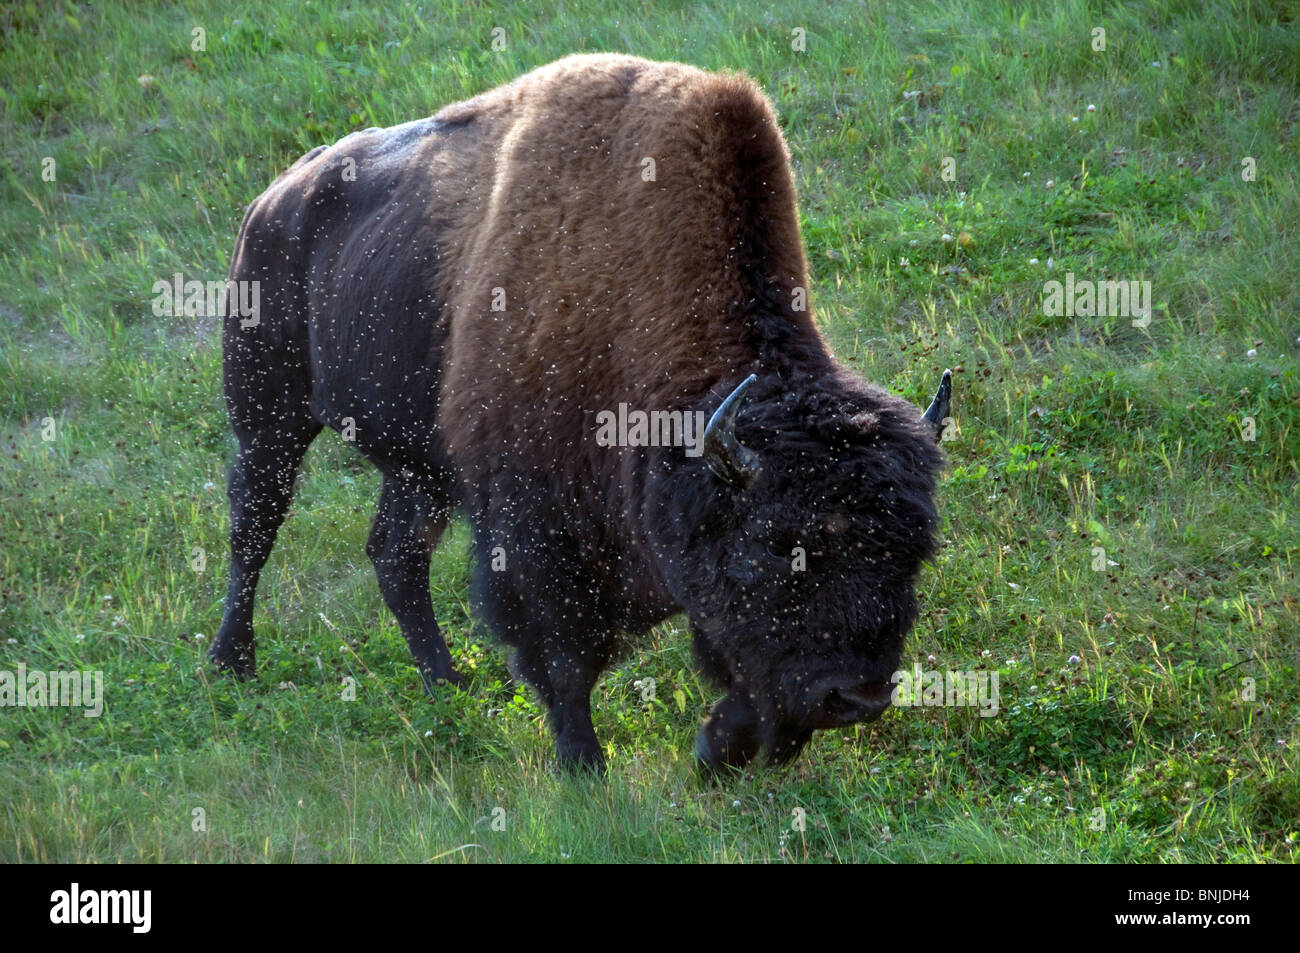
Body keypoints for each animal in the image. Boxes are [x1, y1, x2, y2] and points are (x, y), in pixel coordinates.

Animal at [210, 53, 951, 773]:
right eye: (775, 545)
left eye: (915, 549)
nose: (856, 695)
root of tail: (272, 200)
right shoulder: (537, 533)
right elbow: (565, 656)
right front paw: (583, 765)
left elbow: (737, 666)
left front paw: (716, 750)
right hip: (269, 412)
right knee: (255, 523)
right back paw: (231, 665)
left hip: (417, 465)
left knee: (396, 554)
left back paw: (447, 684)